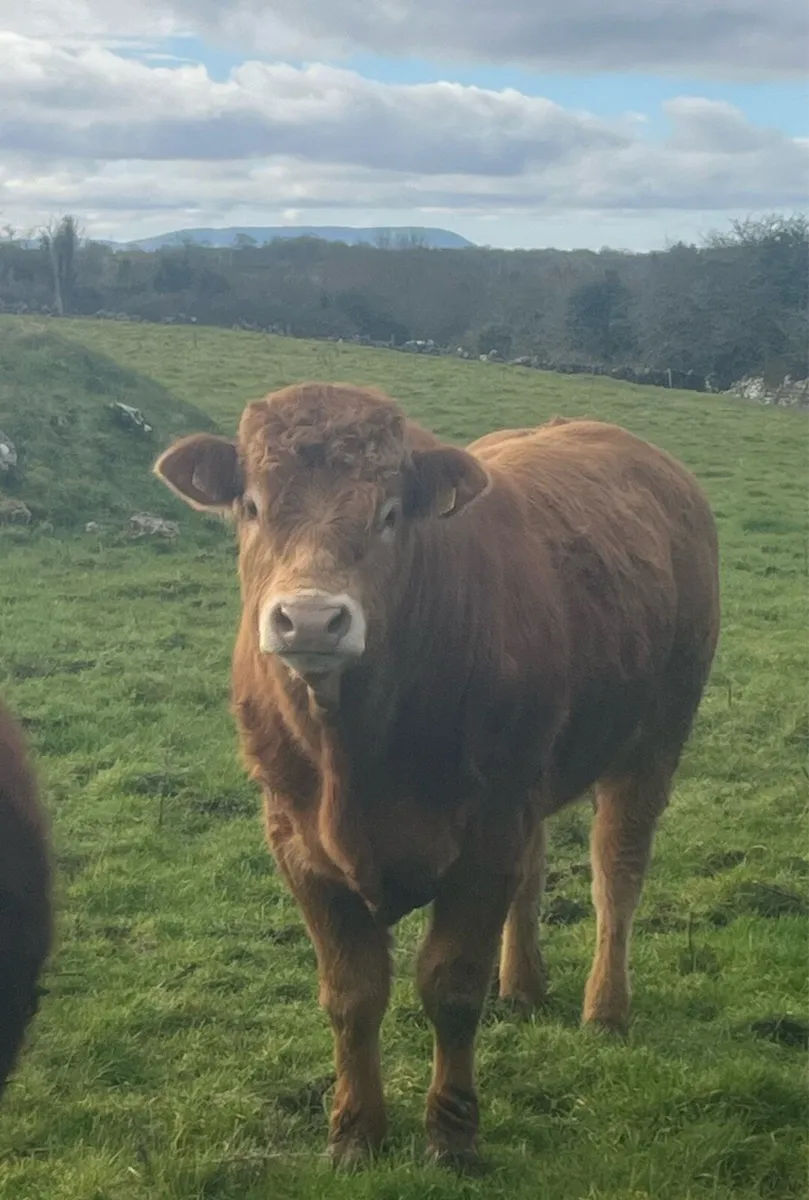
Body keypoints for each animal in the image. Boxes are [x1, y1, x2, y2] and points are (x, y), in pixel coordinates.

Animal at [154, 383, 720, 1168]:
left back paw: (605, 1009)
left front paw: (452, 1134)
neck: (354, 756)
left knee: (617, 873)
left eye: (390, 514)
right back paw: (522, 987)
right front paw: (355, 1132)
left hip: (655, 736)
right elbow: (352, 993)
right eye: (253, 506)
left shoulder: (485, 837)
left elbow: (450, 987)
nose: (310, 620)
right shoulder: (296, 843)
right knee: (536, 869)